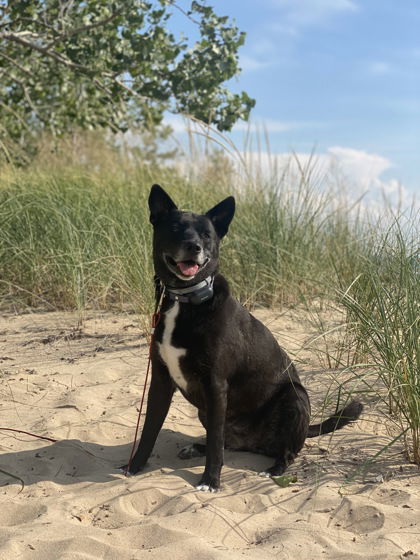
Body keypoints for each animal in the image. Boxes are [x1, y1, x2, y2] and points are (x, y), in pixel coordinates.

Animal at [124, 185, 360, 490]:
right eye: (175, 228)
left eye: (207, 235)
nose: (194, 247)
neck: (185, 299)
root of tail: (254, 442)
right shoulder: (161, 381)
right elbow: (149, 430)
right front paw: (134, 466)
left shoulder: (215, 384)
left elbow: (215, 444)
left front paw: (210, 481)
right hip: (208, 411)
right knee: (225, 441)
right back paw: (197, 448)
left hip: (294, 398)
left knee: (283, 451)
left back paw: (275, 468)